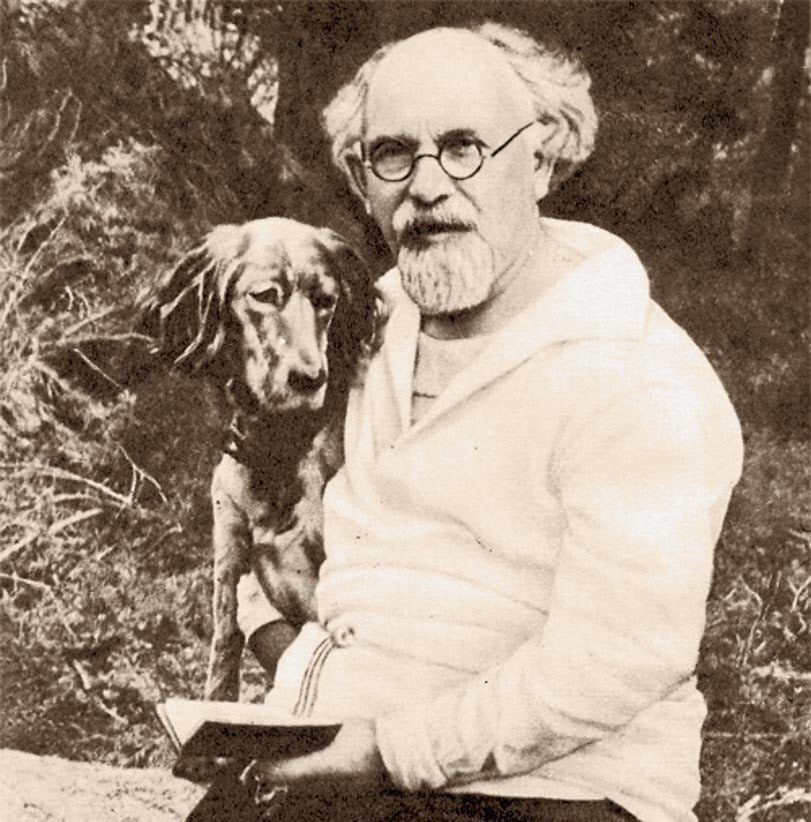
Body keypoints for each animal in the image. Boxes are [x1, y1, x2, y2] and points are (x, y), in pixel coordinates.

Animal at [139, 217, 380, 701]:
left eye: (326, 301)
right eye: (266, 295)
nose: (310, 378)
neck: (277, 446)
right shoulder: (230, 549)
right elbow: (224, 644)